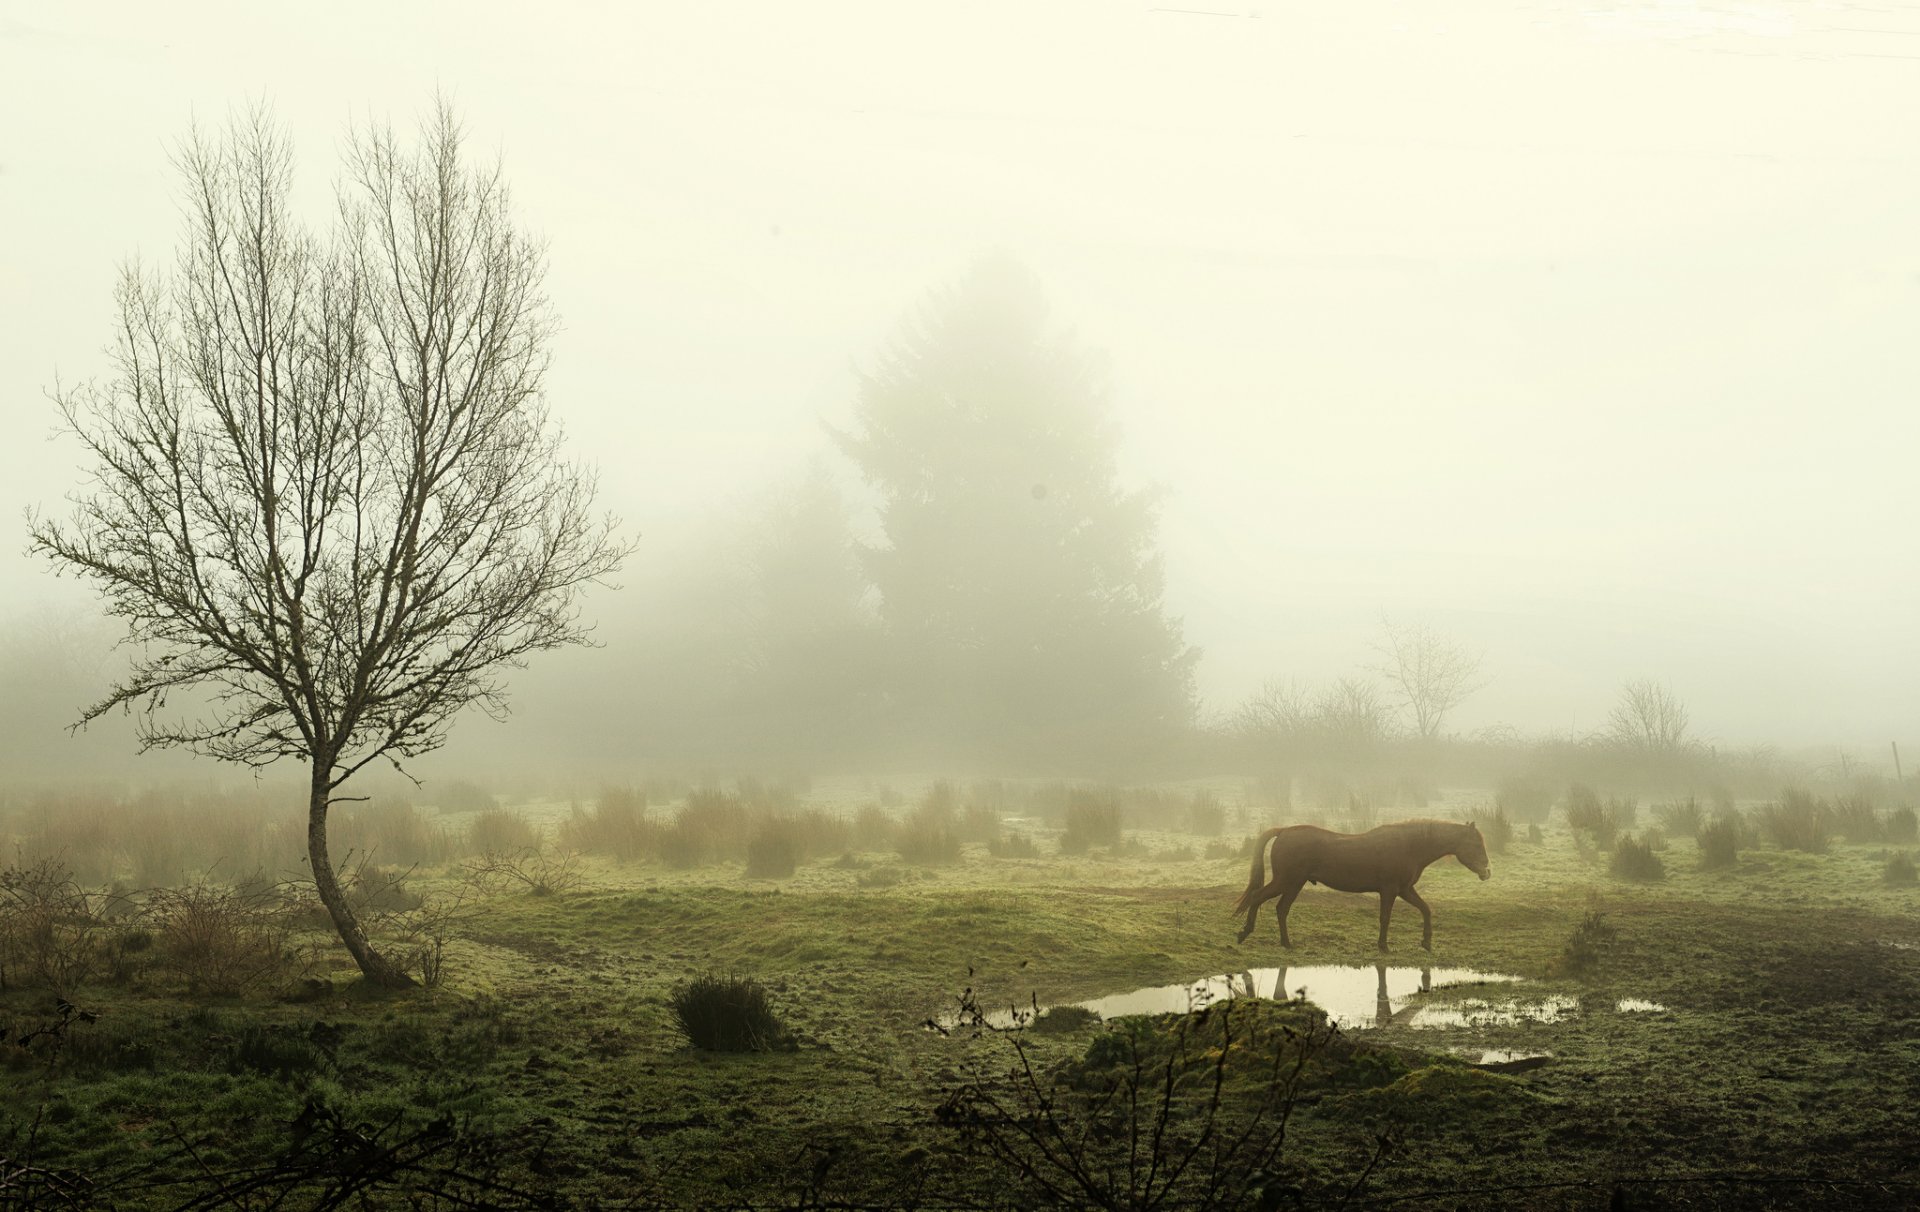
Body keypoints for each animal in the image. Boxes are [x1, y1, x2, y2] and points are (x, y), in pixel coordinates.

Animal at [1236, 822, 1489, 952]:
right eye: (1476, 843)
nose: (1487, 872)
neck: (1410, 846)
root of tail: (1284, 831)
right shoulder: (1390, 890)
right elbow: (1385, 918)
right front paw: (1383, 946)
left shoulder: (1405, 890)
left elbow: (1426, 909)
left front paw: (1426, 942)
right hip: (1288, 881)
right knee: (1260, 898)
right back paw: (1246, 932)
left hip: (1292, 884)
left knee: (1280, 908)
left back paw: (1284, 942)